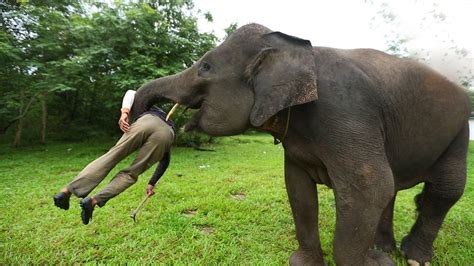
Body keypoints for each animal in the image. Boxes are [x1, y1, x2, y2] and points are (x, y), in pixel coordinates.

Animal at [130, 23, 470, 264]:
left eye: (205, 67)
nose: (139, 119)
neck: (295, 48)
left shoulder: (346, 110)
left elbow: (369, 187)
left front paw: (371, 262)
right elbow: (297, 187)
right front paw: (306, 262)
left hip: (459, 132)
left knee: (445, 189)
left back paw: (411, 258)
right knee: (395, 190)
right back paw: (382, 248)